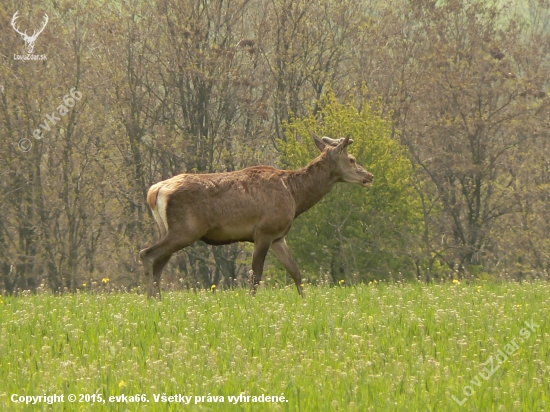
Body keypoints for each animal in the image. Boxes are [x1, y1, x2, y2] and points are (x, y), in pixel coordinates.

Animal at [140, 134, 378, 298]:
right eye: (352, 159)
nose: (370, 176)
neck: (296, 196)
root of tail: (155, 191)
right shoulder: (264, 231)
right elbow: (256, 275)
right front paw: (251, 303)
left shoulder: (279, 236)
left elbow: (296, 271)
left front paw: (305, 301)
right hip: (186, 229)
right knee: (147, 254)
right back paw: (151, 300)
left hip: (168, 229)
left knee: (158, 264)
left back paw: (158, 300)